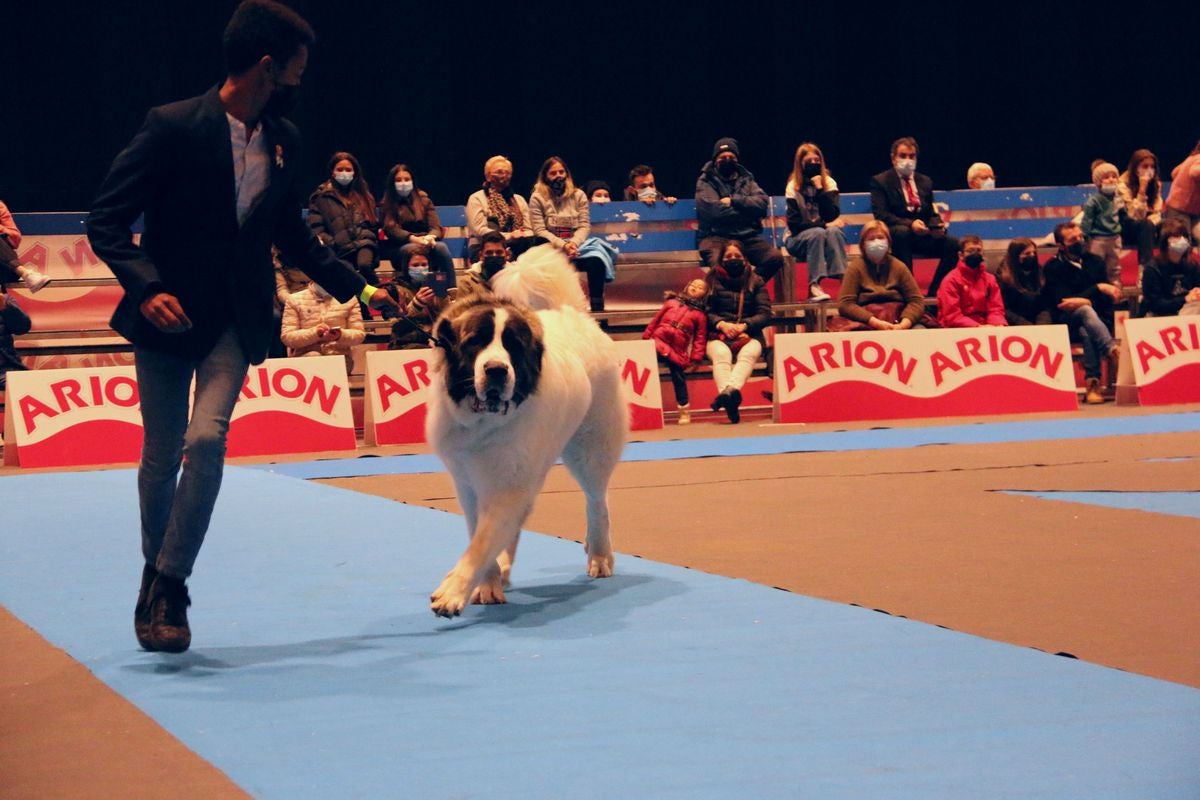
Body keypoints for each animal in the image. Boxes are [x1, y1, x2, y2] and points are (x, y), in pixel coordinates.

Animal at [424, 247, 628, 618]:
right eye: (475, 342)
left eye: (512, 346)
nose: (496, 370)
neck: (485, 422)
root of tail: (572, 314)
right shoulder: (467, 481)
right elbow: (481, 533)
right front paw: (488, 583)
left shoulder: (509, 481)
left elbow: (482, 541)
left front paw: (452, 592)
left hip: (589, 449)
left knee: (597, 500)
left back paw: (600, 554)